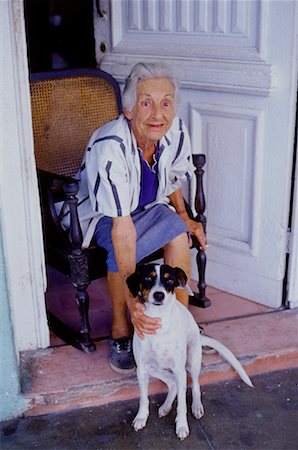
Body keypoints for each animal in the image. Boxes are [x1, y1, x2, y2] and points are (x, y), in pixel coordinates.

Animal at [126, 264, 254, 440]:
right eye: (147, 278)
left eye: (170, 280)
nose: (159, 295)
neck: (159, 320)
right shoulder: (142, 369)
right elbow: (144, 398)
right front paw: (141, 417)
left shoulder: (180, 370)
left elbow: (181, 405)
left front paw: (181, 426)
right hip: (153, 368)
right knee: (172, 382)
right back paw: (166, 407)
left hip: (192, 361)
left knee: (195, 385)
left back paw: (196, 406)